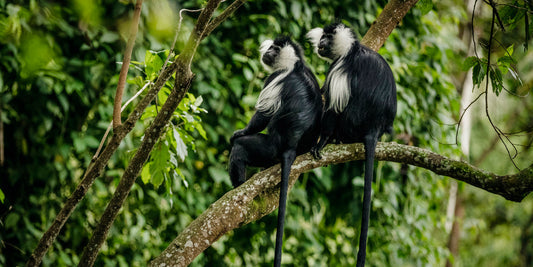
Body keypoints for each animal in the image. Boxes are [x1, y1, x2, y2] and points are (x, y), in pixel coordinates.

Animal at [228, 36, 320, 267]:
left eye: (275, 49)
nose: (268, 52)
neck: (295, 65)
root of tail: (290, 147)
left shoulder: (275, 78)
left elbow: (262, 115)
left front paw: (240, 132)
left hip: (268, 148)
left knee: (240, 148)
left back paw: (238, 186)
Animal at [306, 23, 396, 267]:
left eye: (327, 38)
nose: (320, 43)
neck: (351, 50)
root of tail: (374, 127)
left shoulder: (339, 68)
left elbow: (333, 107)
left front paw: (322, 142)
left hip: (351, 122)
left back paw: (333, 139)